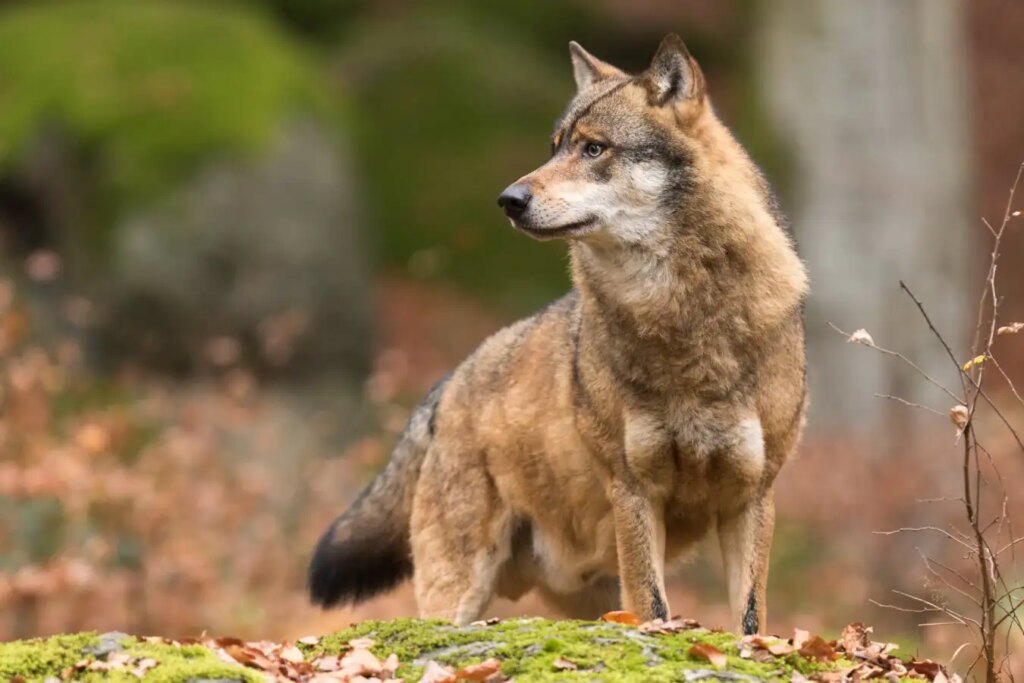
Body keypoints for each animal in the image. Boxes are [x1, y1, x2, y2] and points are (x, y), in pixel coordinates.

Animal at [308, 34, 808, 635]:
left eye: (594, 149)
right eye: (554, 148)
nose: (509, 199)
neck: (685, 319)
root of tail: (446, 385)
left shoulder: (752, 495)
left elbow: (751, 621)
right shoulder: (633, 489)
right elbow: (655, 609)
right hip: (458, 590)